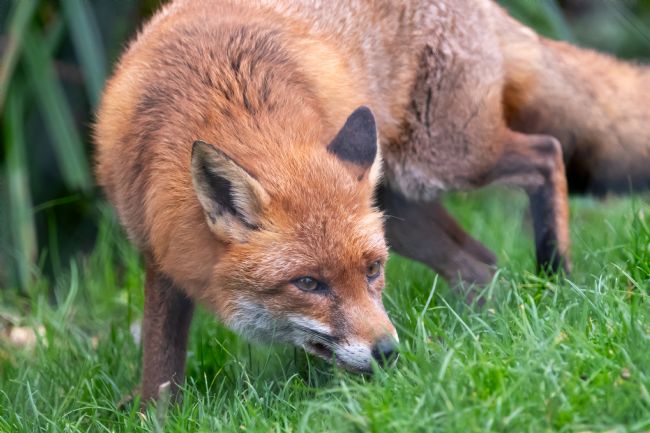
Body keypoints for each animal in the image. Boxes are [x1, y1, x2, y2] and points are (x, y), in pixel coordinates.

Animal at [95, 0, 650, 401]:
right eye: (308, 283)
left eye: (371, 271)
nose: (387, 352)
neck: (223, 92)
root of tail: (485, 7)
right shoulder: (162, 252)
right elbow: (160, 366)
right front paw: (155, 416)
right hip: (402, 211)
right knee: (480, 261)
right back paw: (481, 329)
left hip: (444, 160)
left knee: (546, 154)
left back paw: (555, 273)